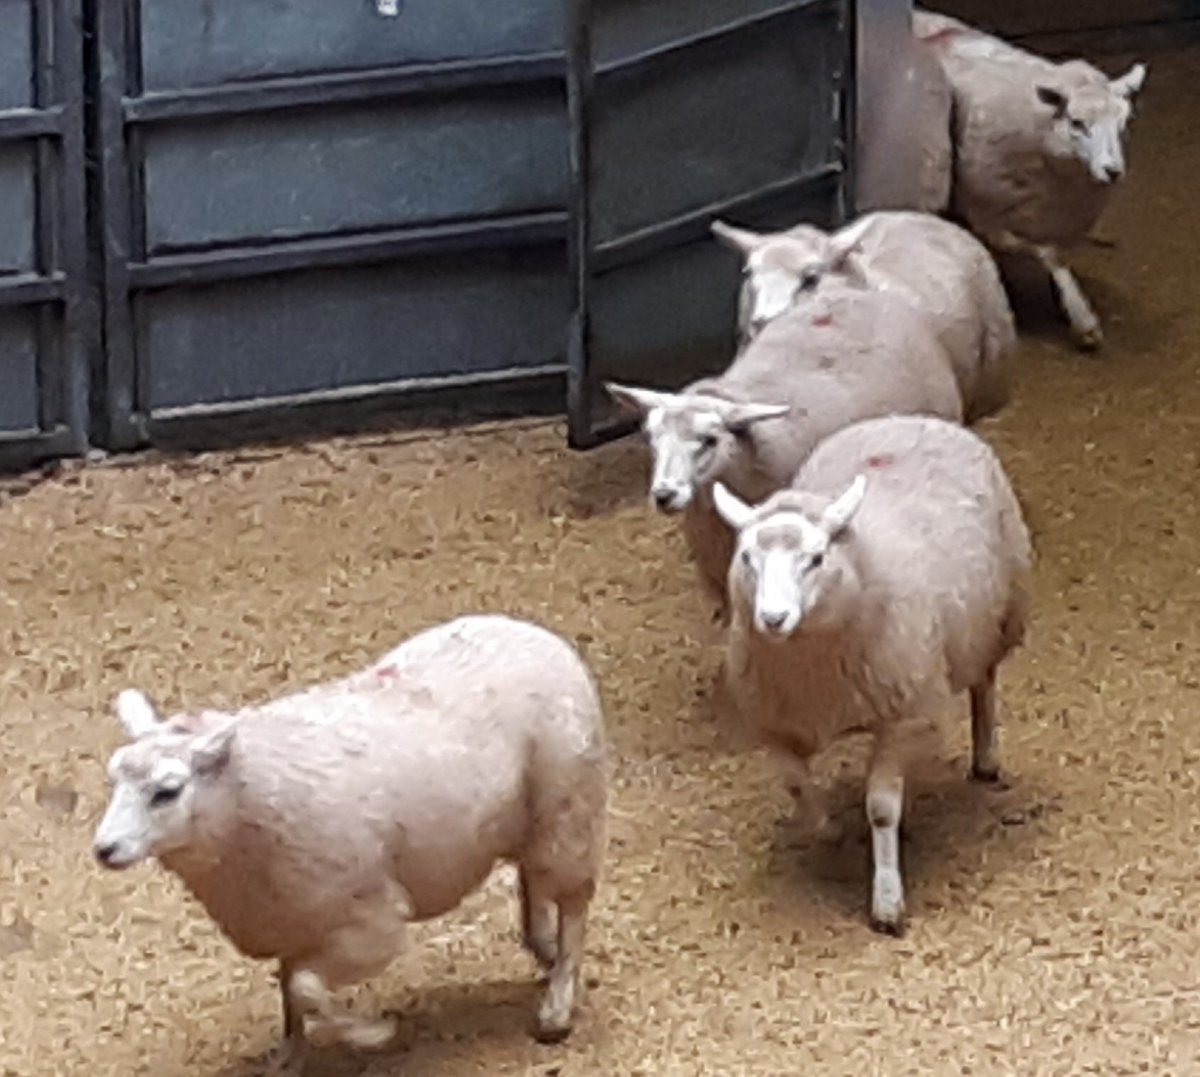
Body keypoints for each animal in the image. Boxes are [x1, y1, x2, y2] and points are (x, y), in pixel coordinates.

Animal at [92, 614, 608, 1073]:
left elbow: (305, 988)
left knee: (574, 905)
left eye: (167, 791)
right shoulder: (289, 920)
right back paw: (543, 950)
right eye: (114, 775)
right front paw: (290, 1058)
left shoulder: (370, 921)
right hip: (530, 823)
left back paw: (557, 1004)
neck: (242, 803)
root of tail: (537, 634)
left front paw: (371, 1033)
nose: (104, 849)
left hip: (569, 810)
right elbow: (290, 989)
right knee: (532, 883)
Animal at [711, 413, 1031, 934]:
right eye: (746, 558)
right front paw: (829, 832)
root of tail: (906, 419)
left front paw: (886, 900)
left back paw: (985, 757)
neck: (811, 670)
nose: (773, 618)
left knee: (984, 686)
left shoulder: (903, 715)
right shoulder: (773, 723)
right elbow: (798, 786)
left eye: (816, 559)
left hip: (995, 623)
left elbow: (881, 809)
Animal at [914, 7, 1148, 350]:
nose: (1112, 170)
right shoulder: (990, 215)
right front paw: (1082, 318)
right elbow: (1045, 253)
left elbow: (1058, 258)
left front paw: (1072, 307)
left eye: (1124, 121)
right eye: (1076, 122)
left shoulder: (1061, 218)